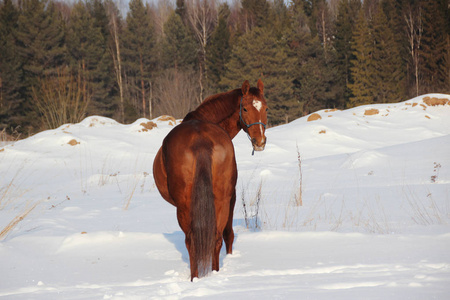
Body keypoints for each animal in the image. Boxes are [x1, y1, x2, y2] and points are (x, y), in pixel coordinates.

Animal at [153, 80, 268, 282]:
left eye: (266, 108)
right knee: (214, 237)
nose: (259, 141)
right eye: (245, 108)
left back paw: (195, 278)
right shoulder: (230, 197)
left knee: (193, 240)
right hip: (220, 200)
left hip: (186, 206)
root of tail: (200, 140)